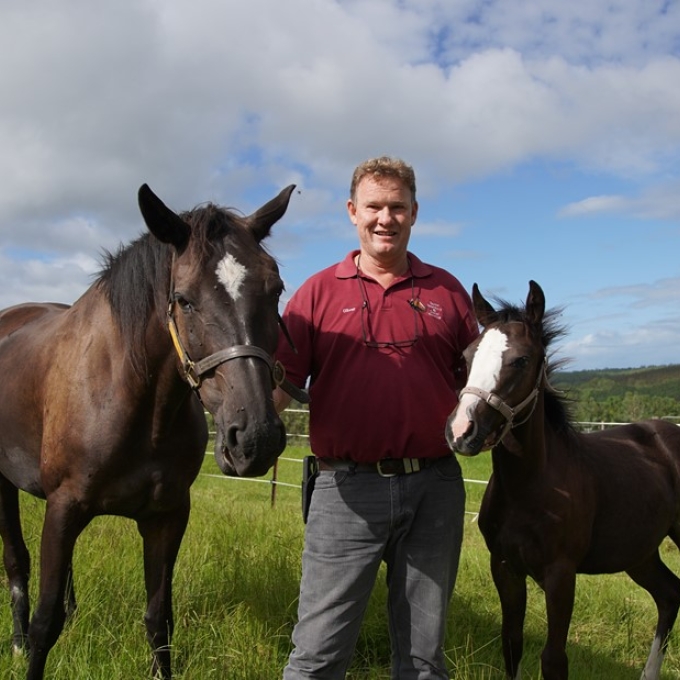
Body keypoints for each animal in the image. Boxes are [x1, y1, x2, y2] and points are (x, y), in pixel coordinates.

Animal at [0, 183, 301, 679]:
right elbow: (46, 622)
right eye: (183, 298)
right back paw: (19, 642)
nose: (255, 439)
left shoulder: (167, 516)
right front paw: (33, 643)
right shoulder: (63, 508)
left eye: (274, 289)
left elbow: (159, 620)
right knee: (17, 564)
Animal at [446, 280, 680, 680]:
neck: (528, 487)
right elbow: (512, 644)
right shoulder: (505, 568)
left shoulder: (561, 575)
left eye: (522, 359)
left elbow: (554, 659)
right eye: (468, 354)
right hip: (640, 551)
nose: (462, 431)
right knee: (669, 595)